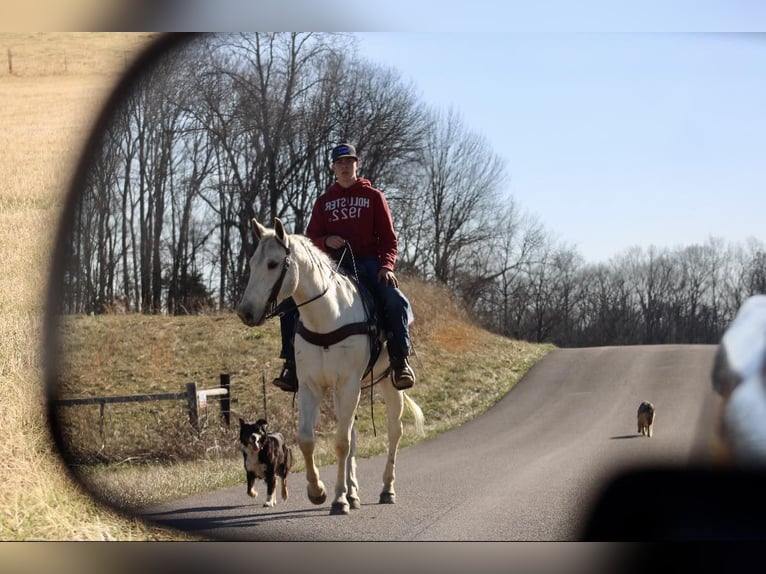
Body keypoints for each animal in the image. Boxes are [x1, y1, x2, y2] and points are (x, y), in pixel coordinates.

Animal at [237, 218, 426, 516]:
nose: (245, 312)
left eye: (273, 263)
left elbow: (341, 443)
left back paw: (386, 489)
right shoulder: (310, 386)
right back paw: (354, 493)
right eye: (253, 262)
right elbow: (308, 439)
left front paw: (338, 499)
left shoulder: (348, 385)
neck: (327, 317)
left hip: (388, 384)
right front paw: (318, 491)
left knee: (394, 432)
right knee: (352, 435)